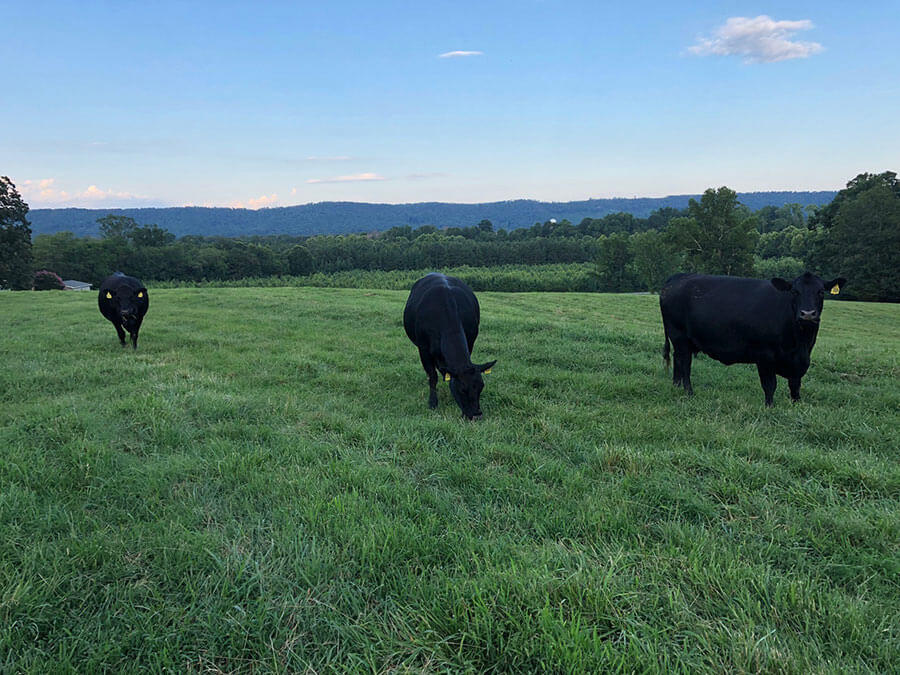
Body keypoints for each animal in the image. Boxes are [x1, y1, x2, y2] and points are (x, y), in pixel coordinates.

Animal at [402, 272, 496, 420]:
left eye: (481, 386)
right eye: (462, 390)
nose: (476, 415)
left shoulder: (470, 341)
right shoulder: (423, 349)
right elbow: (432, 375)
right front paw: (433, 402)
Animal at [660, 270, 844, 406]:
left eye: (821, 292)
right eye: (794, 291)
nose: (807, 314)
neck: (800, 343)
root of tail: (678, 276)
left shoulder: (800, 360)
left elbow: (795, 385)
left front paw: (796, 405)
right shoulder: (764, 355)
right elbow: (770, 385)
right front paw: (770, 407)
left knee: (677, 359)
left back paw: (676, 385)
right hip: (679, 335)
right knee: (685, 363)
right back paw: (688, 392)